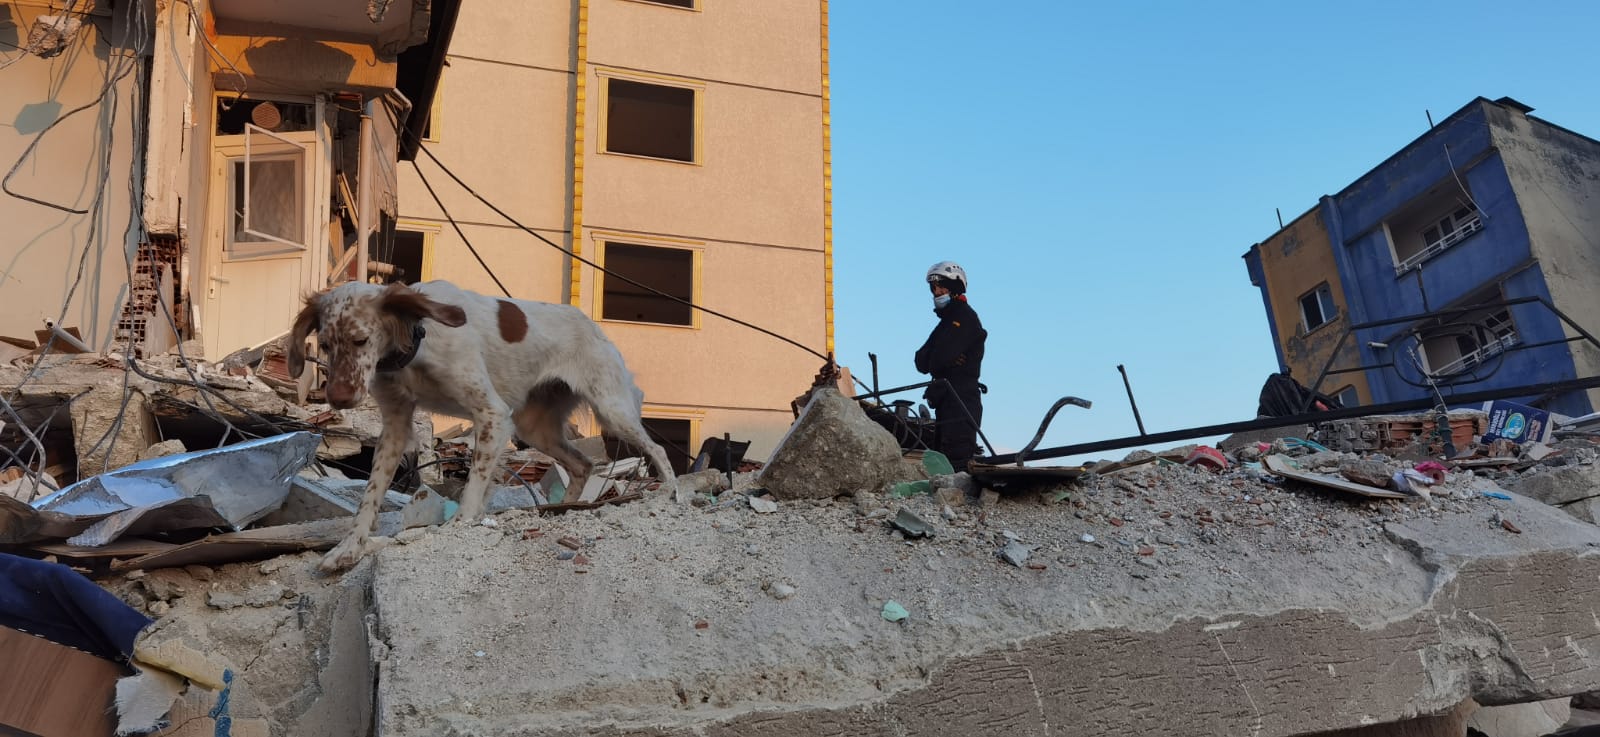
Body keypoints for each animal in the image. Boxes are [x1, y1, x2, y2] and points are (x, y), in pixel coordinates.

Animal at [288, 278, 675, 572]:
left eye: (361, 340)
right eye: (325, 345)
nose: (338, 399)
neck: (418, 341)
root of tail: (595, 326)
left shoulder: (492, 413)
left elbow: (474, 482)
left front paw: (459, 523)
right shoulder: (395, 424)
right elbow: (370, 495)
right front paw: (348, 548)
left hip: (611, 409)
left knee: (656, 448)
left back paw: (671, 492)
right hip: (533, 426)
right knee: (582, 464)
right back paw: (560, 506)